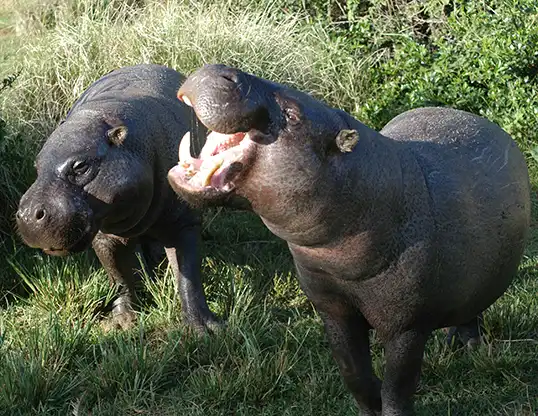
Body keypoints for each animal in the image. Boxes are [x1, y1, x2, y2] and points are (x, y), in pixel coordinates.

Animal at [16, 64, 218, 332]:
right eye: (37, 167)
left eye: (80, 166)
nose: (28, 214)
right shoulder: (105, 235)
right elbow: (119, 277)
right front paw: (122, 323)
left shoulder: (184, 223)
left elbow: (188, 277)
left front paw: (204, 329)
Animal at [168, 63, 528, 414]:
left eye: (293, 113)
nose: (220, 69)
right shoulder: (333, 309)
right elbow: (353, 374)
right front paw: (371, 403)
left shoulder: (407, 327)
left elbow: (398, 388)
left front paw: (388, 404)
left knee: (474, 308)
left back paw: (467, 347)